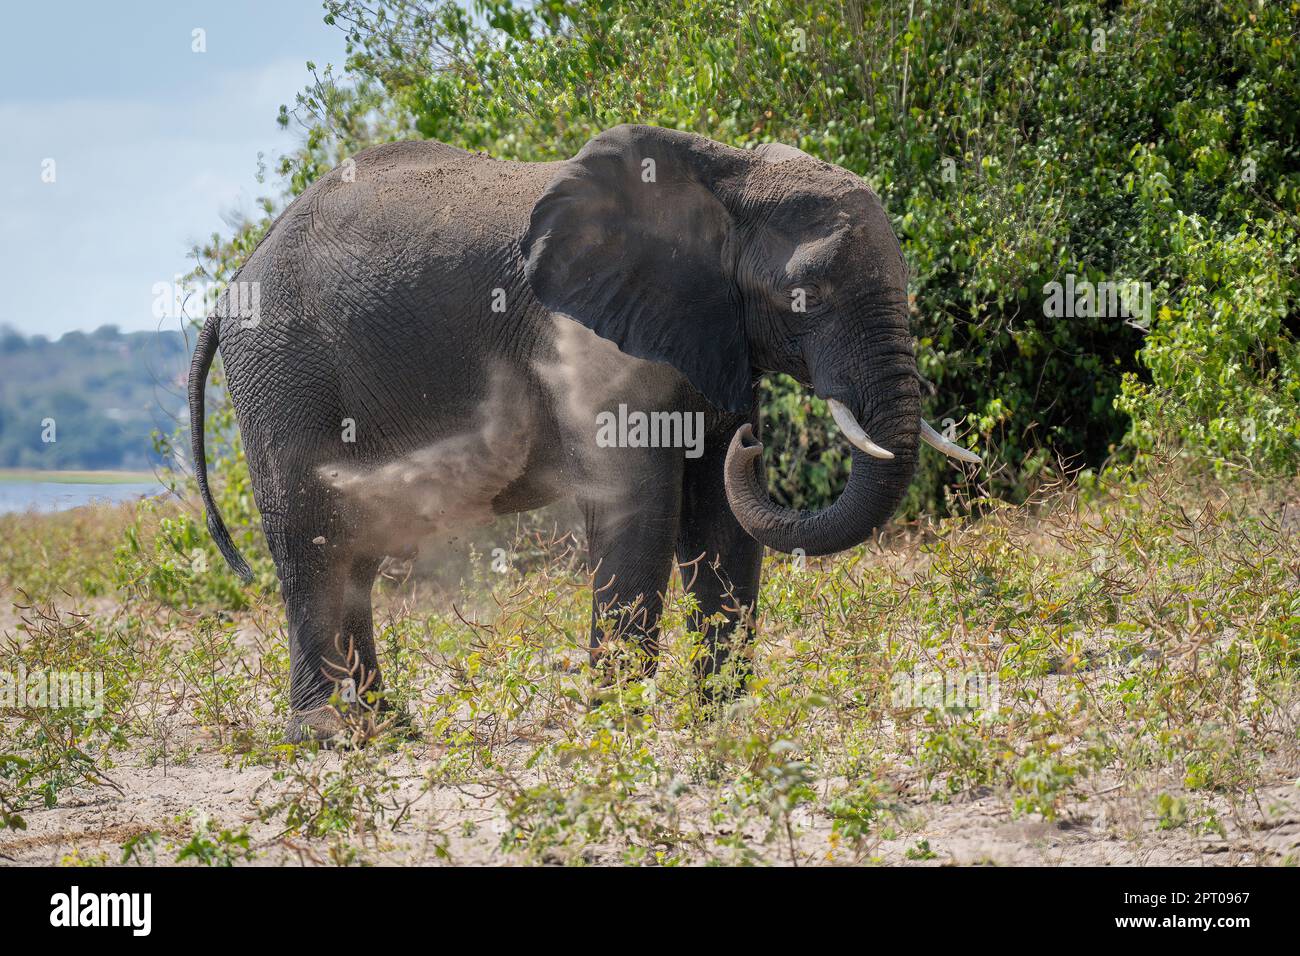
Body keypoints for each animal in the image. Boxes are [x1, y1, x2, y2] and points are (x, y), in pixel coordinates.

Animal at [187, 124, 977, 740]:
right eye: (803, 297)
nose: (755, 446)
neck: (728, 173)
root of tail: (234, 283)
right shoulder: (590, 336)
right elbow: (643, 509)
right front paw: (615, 729)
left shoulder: (709, 328)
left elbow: (720, 520)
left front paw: (719, 721)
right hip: (284, 372)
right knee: (314, 539)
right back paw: (329, 736)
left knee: (356, 551)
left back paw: (390, 727)